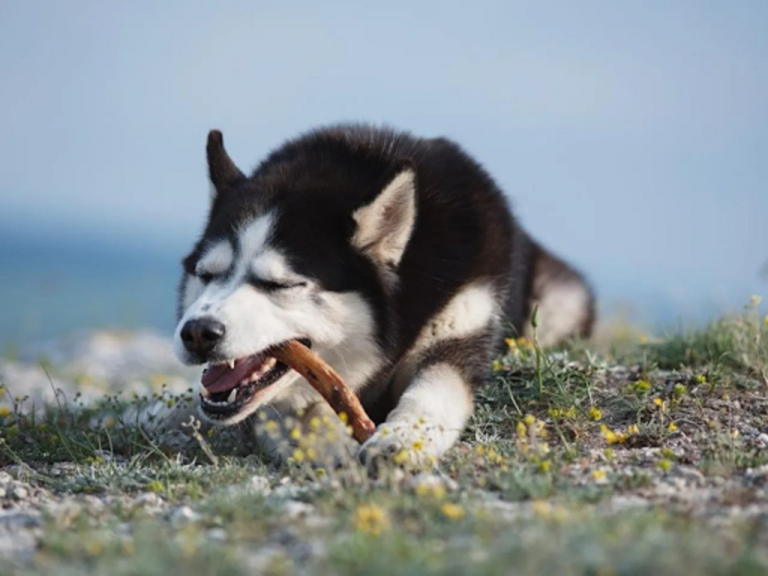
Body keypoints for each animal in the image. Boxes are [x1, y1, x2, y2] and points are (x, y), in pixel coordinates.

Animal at [172, 126, 592, 468]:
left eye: (281, 284)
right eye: (206, 274)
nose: (197, 333)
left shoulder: (461, 323)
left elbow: (434, 391)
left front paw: (403, 438)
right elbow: (297, 408)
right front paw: (328, 442)